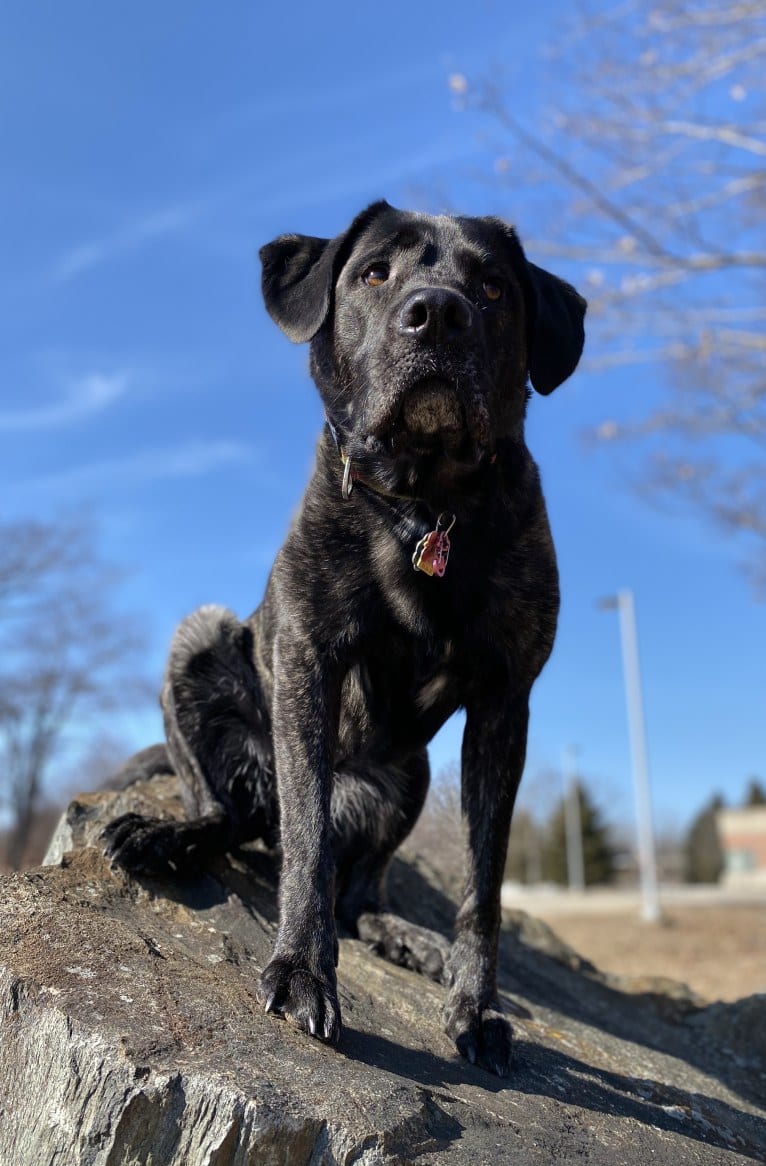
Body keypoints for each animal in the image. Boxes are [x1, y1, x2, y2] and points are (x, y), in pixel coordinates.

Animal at [104, 200, 585, 1072]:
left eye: (494, 288)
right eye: (374, 273)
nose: (437, 313)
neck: (428, 506)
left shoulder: (506, 704)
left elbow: (484, 887)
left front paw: (476, 1005)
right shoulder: (307, 659)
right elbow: (308, 837)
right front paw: (302, 971)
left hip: (412, 774)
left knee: (362, 895)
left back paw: (413, 941)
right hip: (199, 638)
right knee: (231, 815)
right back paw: (167, 836)